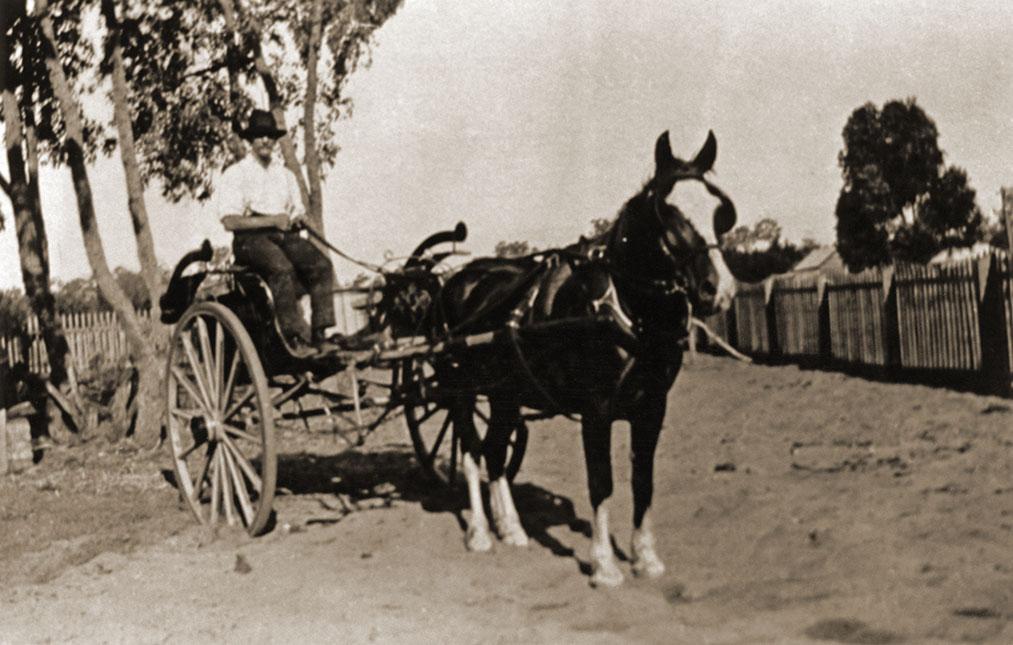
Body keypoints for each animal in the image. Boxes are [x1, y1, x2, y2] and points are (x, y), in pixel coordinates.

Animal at [427, 128, 737, 587]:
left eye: (719, 210)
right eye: (668, 214)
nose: (720, 290)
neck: (623, 308)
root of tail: (458, 280)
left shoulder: (652, 408)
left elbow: (643, 481)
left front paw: (646, 558)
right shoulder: (596, 409)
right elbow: (601, 482)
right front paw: (604, 566)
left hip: (505, 394)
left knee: (496, 451)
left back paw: (511, 529)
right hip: (461, 391)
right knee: (470, 452)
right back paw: (481, 533)